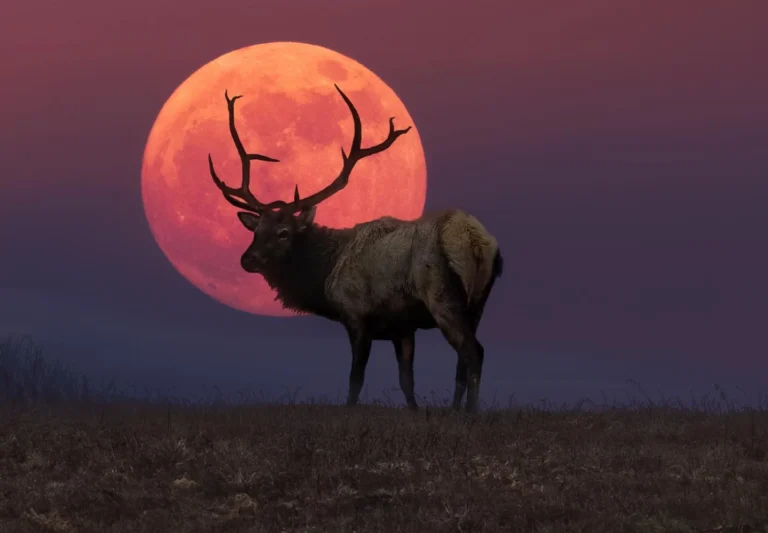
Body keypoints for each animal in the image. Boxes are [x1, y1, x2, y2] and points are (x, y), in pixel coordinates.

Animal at [207, 85, 503, 413]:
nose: (247, 259)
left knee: (474, 351)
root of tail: (474, 240)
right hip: (478, 301)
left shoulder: (356, 315)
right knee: (464, 358)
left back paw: (469, 412)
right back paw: (456, 408)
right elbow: (406, 382)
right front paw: (415, 413)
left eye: (283, 233)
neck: (324, 277)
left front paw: (348, 412)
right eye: (256, 231)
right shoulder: (403, 327)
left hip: (441, 295)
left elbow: (355, 379)